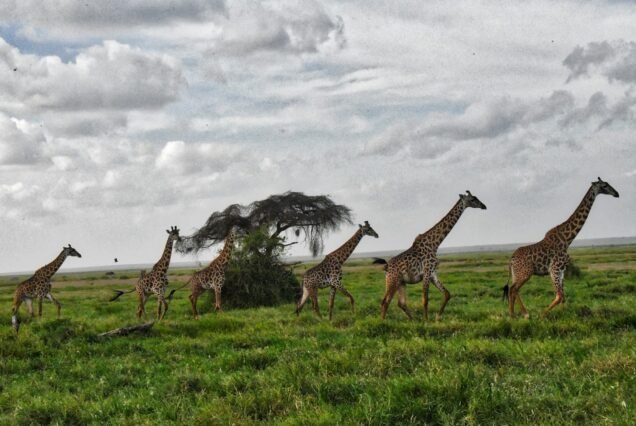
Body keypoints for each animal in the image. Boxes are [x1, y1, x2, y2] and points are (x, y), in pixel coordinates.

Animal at [372, 191, 486, 322]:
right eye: (473, 199)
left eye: (476, 198)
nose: (484, 206)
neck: (435, 244)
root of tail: (386, 266)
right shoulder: (426, 273)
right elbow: (425, 299)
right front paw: (426, 321)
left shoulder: (432, 273)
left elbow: (447, 294)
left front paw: (437, 317)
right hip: (392, 280)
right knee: (385, 301)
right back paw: (383, 321)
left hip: (401, 282)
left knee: (401, 303)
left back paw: (413, 320)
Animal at [504, 177, 620, 320]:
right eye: (604, 185)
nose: (617, 193)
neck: (567, 239)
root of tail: (511, 259)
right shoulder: (554, 269)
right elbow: (559, 296)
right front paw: (542, 315)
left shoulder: (562, 270)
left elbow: (563, 297)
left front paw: (566, 315)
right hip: (525, 273)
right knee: (513, 289)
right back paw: (519, 315)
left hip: (518, 274)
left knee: (513, 289)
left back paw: (517, 314)